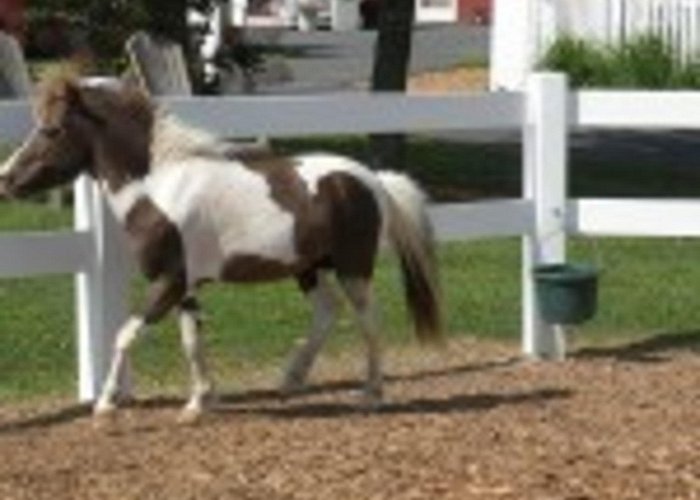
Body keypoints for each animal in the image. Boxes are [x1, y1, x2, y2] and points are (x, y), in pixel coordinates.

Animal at [0, 74, 440, 422]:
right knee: (327, 312)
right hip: (308, 268)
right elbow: (192, 342)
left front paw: (106, 404)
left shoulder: (169, 281)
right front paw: (200, 402)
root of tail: (373, 179)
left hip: (353, 268)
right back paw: (291, 380)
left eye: (51, 129)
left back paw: (371, 394)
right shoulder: (187, 287)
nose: (6, 178)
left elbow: (125, 333)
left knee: (369, 320)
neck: (159, 188)